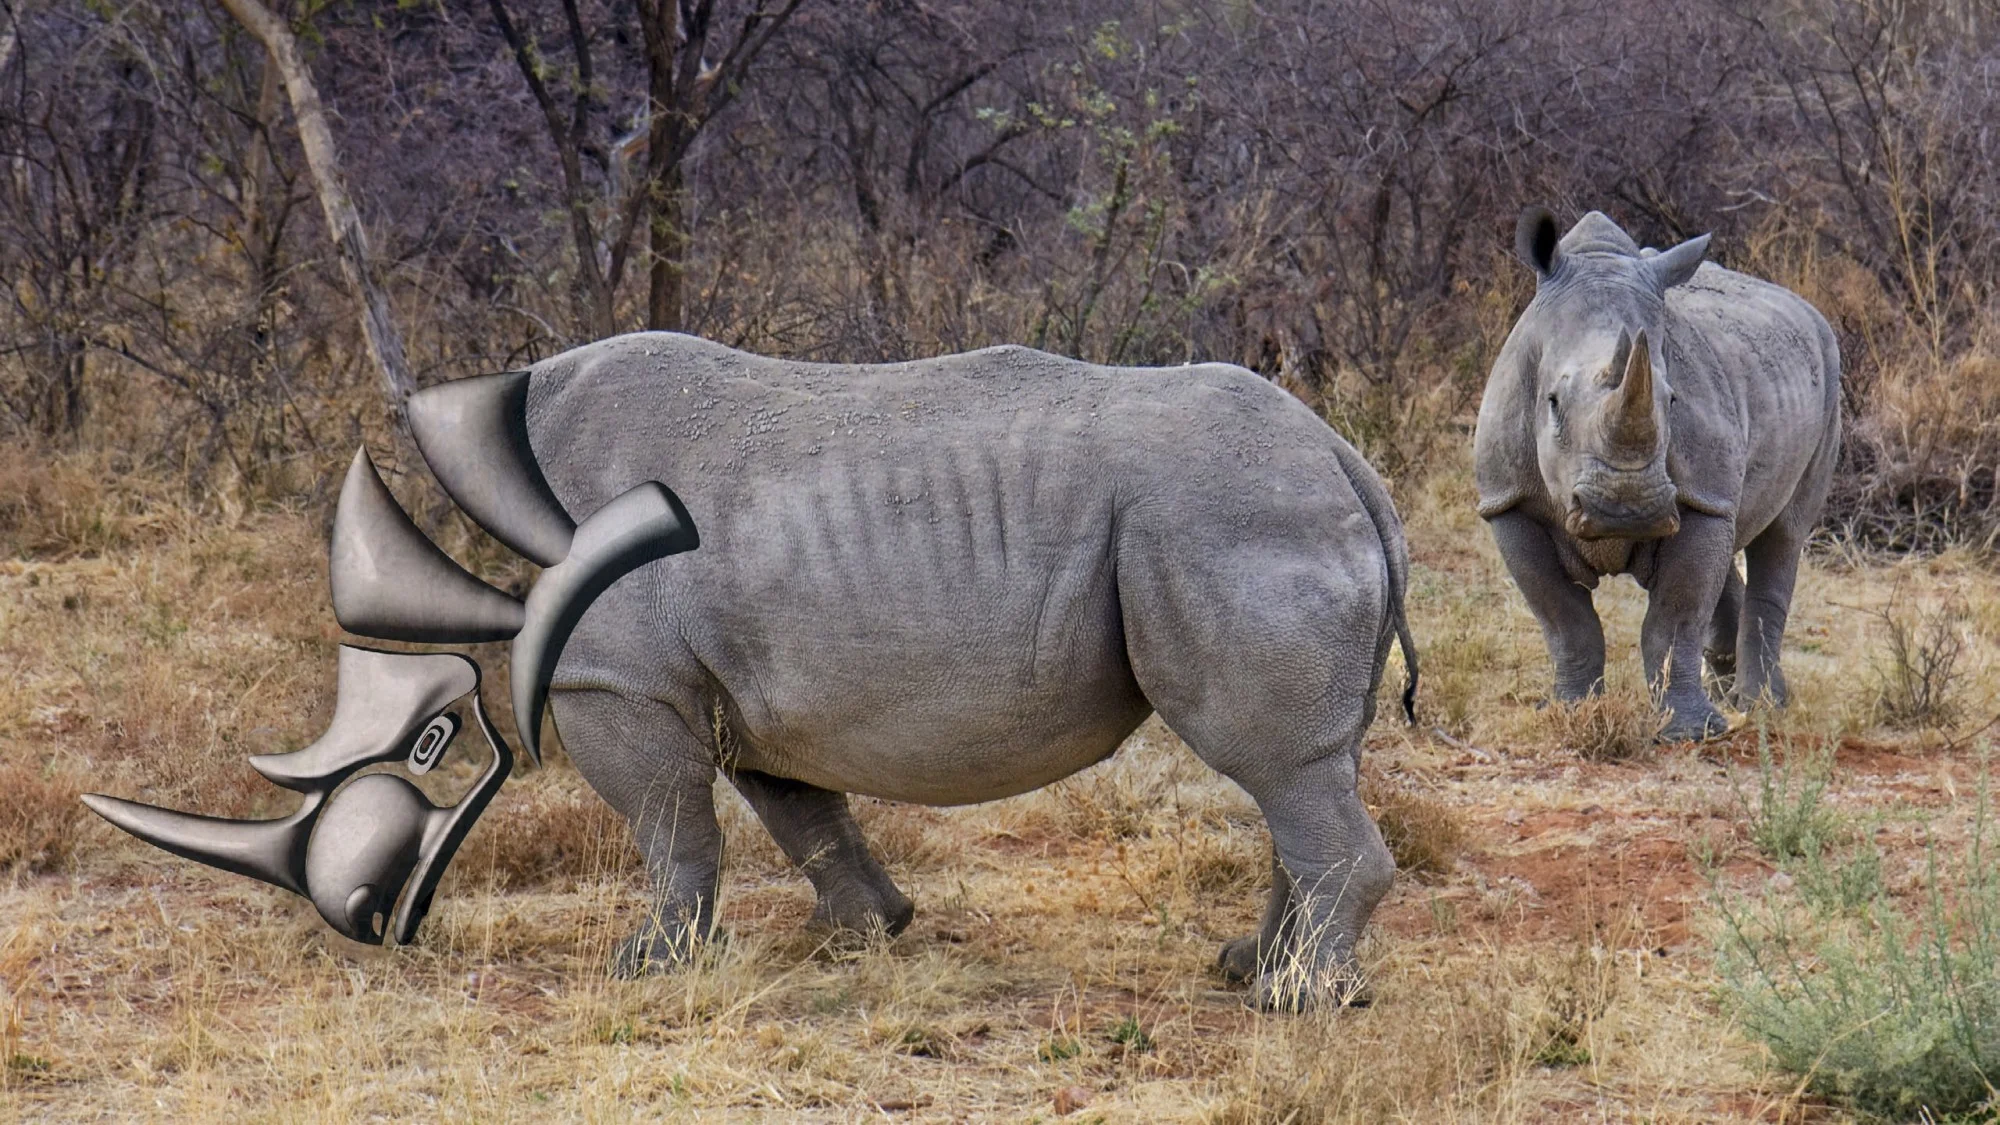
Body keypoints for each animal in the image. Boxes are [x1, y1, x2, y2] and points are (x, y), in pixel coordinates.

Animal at [454, 332, 1417, 1009]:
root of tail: (1345, 459)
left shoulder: (614, 678)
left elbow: (670, 826)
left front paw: (644, 965)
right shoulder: (744, 675)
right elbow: (801, 809)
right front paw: (857, 934)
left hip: (1228, 518)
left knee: (1278, 763)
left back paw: (1295, 1001)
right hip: (1256, 516)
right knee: (1305, 770)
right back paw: (1251, 967)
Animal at [1475, 208, 1842, 740]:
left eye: (1671, 401)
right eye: (1552, 403)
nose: (1626, 509)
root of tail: (1807, 309)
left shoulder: (1697, 495)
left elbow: (1675, 614)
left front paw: (1692, 732)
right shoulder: (1507, 501)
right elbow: (1564, 619)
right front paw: (1571, 713)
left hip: (1829, 375)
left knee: (1783, 534)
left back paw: (1762, 706)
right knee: (1735, 530)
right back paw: (1729, 689)